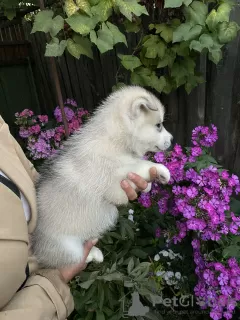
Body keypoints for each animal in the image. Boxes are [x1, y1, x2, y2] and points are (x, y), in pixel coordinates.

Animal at [32, 85, 172, 268]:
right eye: (159, 125)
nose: (172, 139)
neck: (114, 140)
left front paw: (148, 183)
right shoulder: (114, 183)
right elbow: (140, 165)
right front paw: (161, 170)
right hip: (66, 247)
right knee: (67, 259)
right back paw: (92, 254)